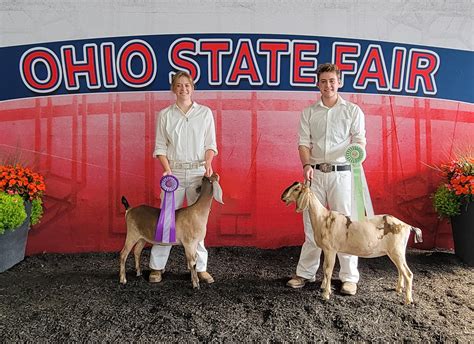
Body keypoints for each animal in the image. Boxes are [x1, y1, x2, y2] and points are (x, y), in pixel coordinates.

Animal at [282, 181, 422, 306]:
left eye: (296, 189)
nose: (282, 197)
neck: (323, 218)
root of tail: (407, 225)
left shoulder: (331, 249)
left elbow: (328, 270)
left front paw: (325, 294)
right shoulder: (326, 250)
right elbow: (324, 268)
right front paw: (324, 288)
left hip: (396, 250)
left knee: (408, 274)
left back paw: (408, 300)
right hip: (396, 251)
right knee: (400, 270)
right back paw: (398, 289)